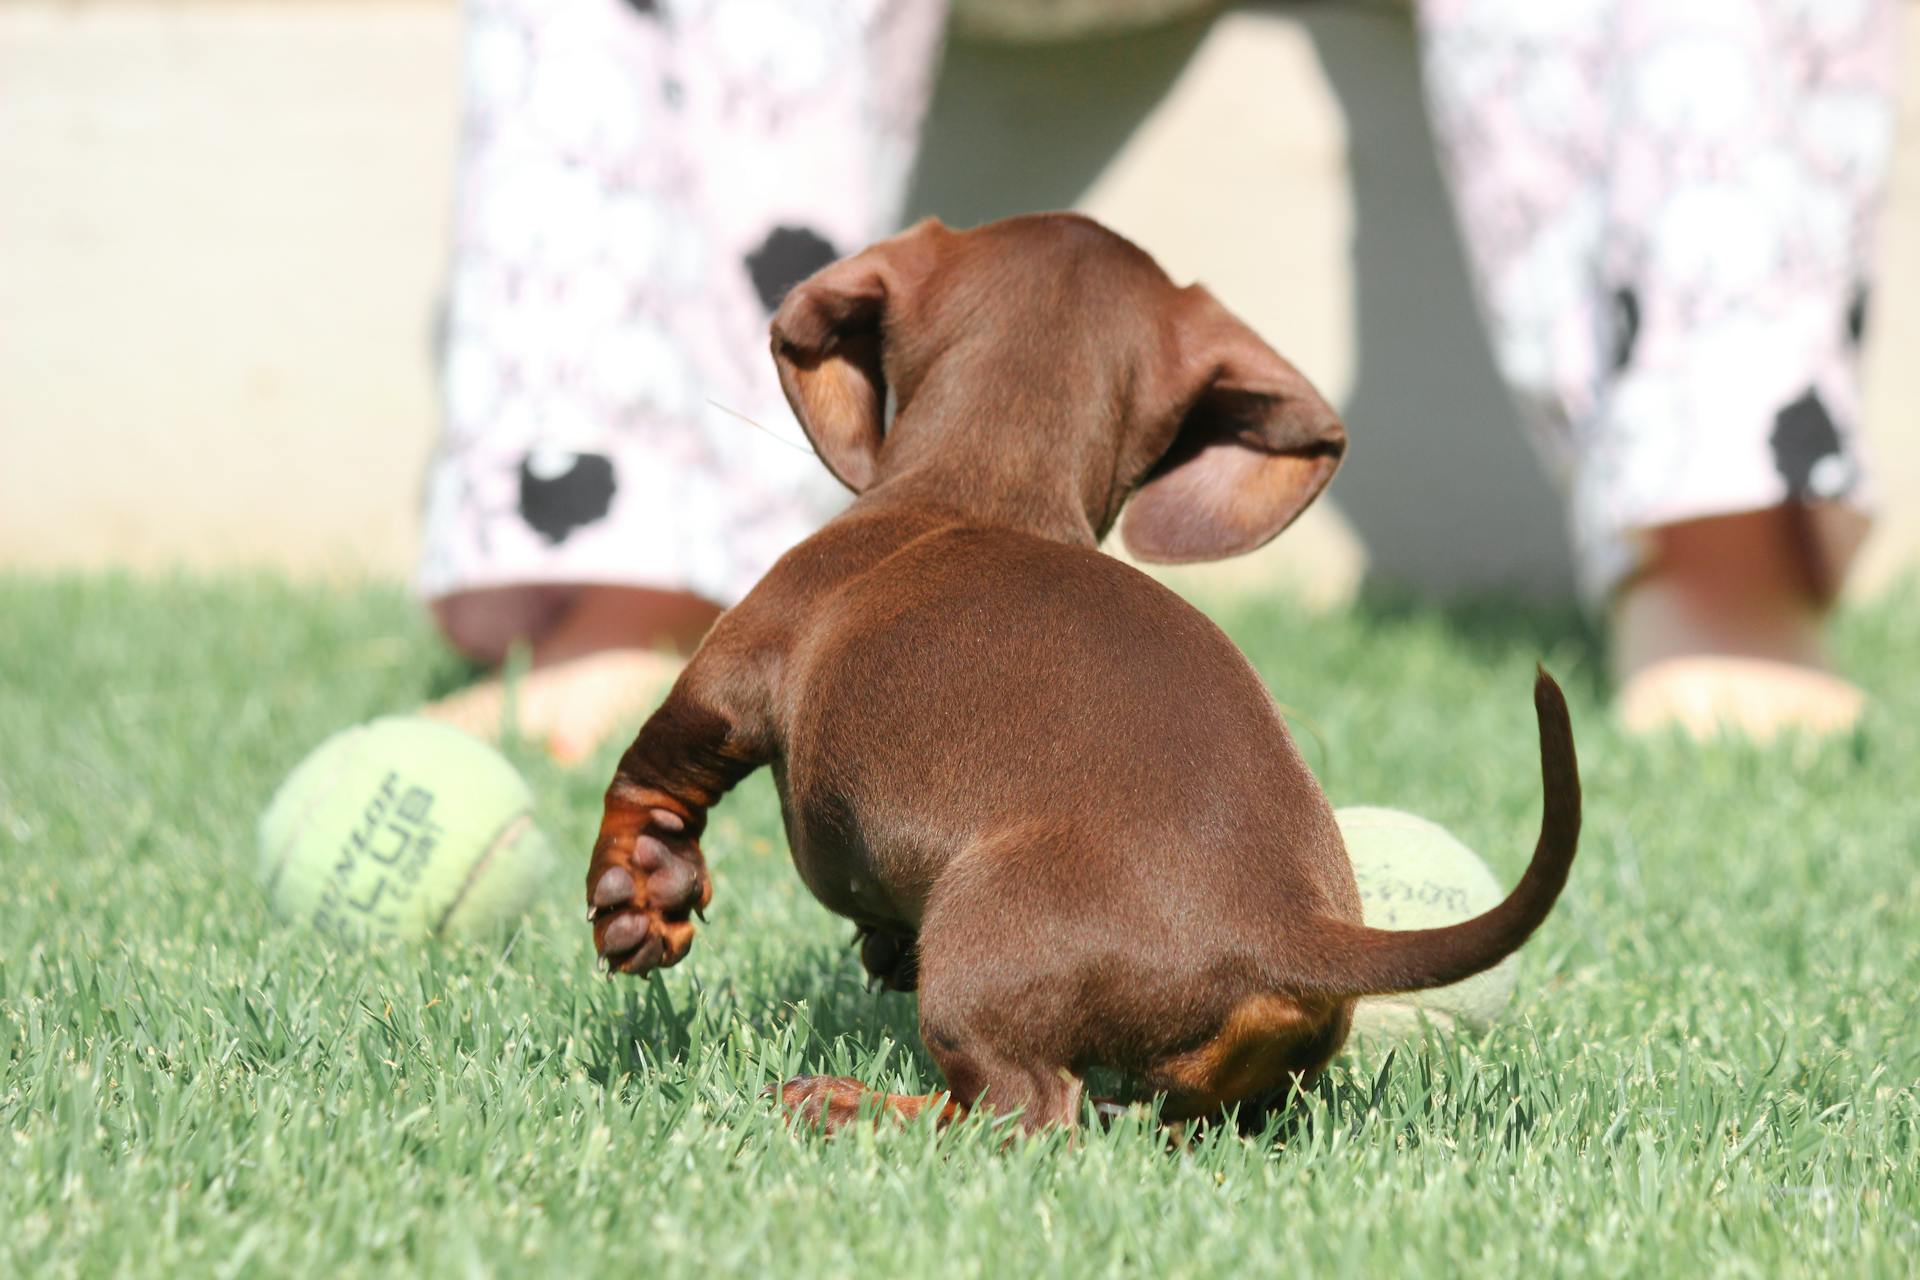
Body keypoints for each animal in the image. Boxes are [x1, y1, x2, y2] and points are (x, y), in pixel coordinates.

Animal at [583, 214, 1574, 1136]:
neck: (983, 488)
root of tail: (1284, 930)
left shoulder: (733, 671)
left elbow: (651, 774)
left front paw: (639, 887)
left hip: (980, 944)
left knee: (1018, 1109)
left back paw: (848, 1106)